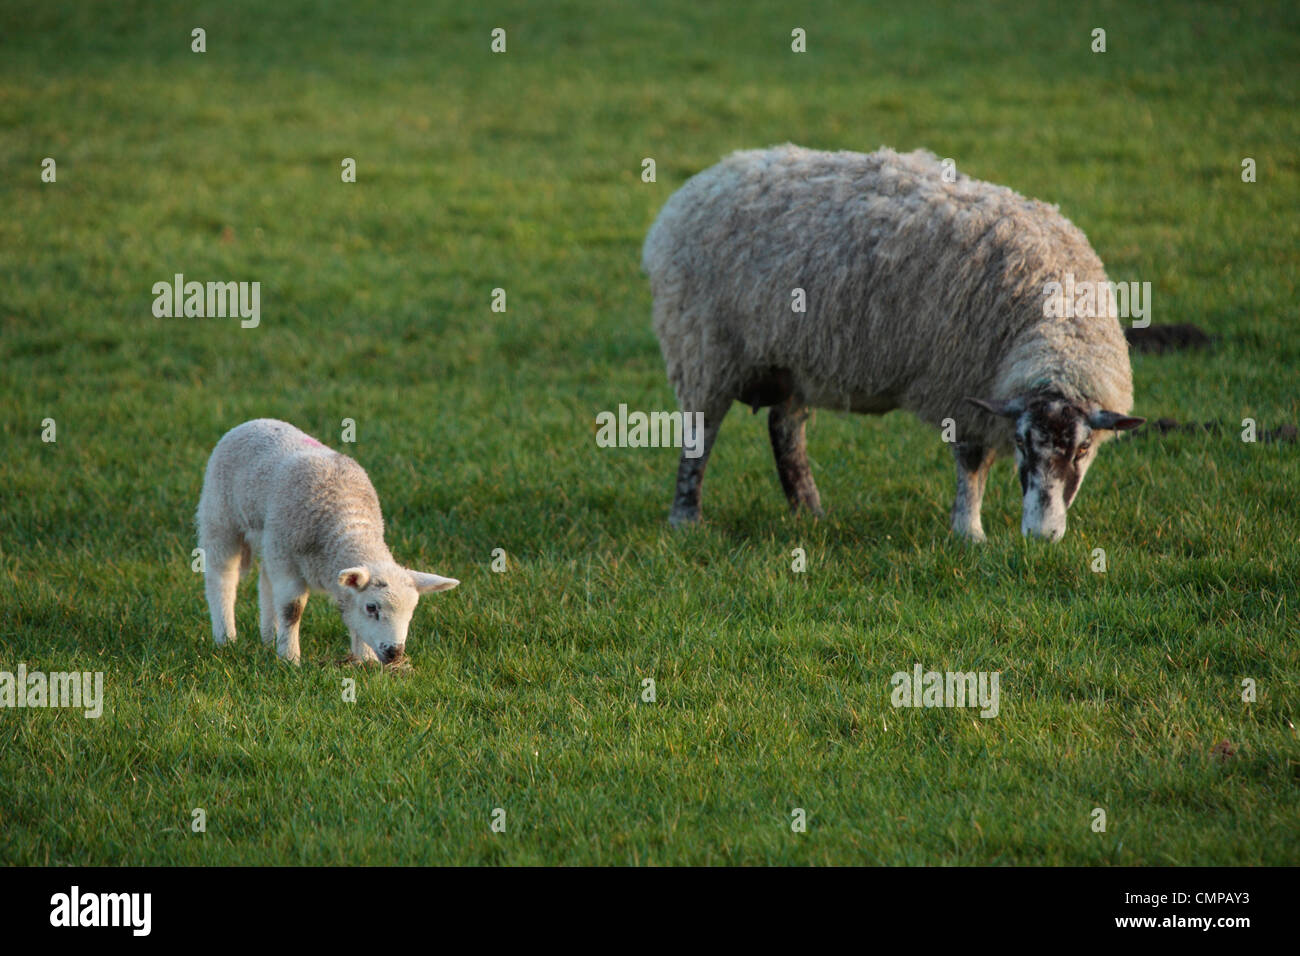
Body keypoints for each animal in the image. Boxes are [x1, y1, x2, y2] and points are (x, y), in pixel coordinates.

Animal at [192, 418, 457, 665]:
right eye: (372, 608)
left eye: (411, 611)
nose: (394, 653)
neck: (348, 524)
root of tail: (256, 422)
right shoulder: (288, 560)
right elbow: (292, 610)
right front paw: (290, 660)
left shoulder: (285, 553)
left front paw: (366, 661)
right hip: (220, 516)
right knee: (221, 577)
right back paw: (226, 638)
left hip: (270, 540)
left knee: (266, 582)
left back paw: (269, 638)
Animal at [644, 145, 1144, 541]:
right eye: (1022, 444)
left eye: (1083, 450)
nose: (1042, 535)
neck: (1056, 327)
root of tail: (700, 183)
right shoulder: (960, 385)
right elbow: (972, 463)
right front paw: (969, 533)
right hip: (703, 347)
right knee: (700, 434)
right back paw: (686, 518)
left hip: (791, 358)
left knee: (785, 428)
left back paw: (810, 512)